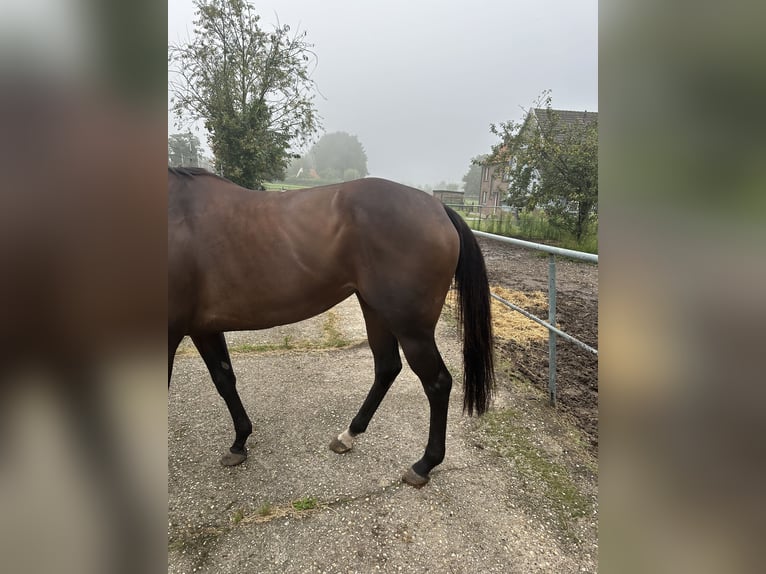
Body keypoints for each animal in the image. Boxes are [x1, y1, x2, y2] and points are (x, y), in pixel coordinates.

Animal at [168, 169, 496, 488]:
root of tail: (439, 209)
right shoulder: (204, 328)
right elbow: (224, 379)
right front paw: (239, 443)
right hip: (375, 309)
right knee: (387, 367)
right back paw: (349, 434)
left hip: (411, 328)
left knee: (437, 383)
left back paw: (424, 464)